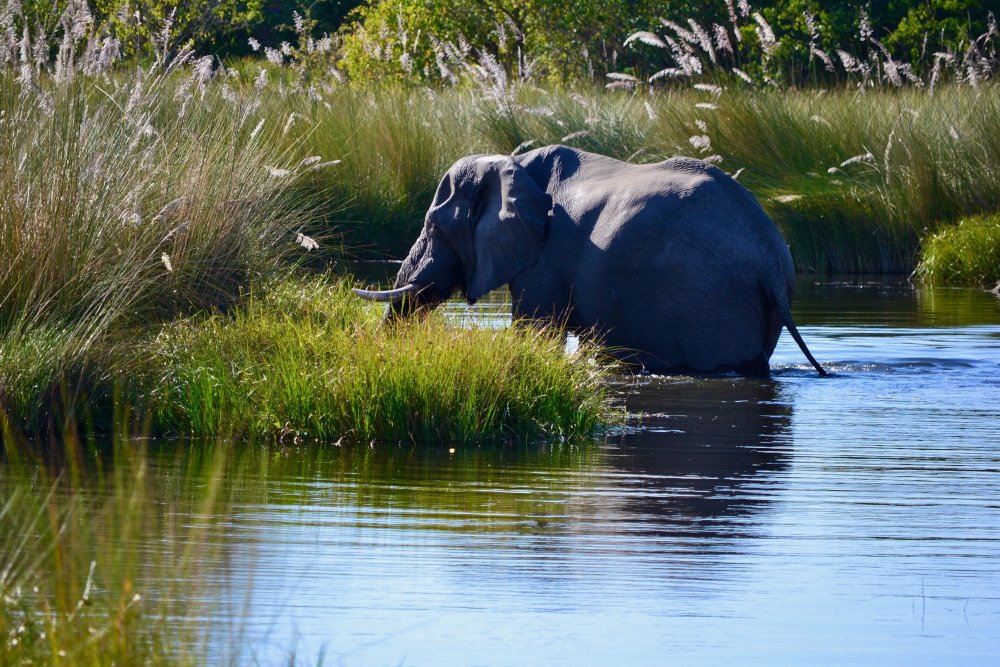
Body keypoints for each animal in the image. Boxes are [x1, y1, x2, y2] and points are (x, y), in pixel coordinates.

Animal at [356, 144, 824, 378]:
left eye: (435, 226)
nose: (376, 354)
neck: (510, 162)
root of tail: (769, 254)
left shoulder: (545, 253)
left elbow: (535, 332)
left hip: (710, 303)